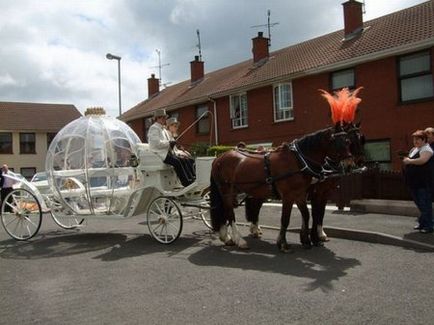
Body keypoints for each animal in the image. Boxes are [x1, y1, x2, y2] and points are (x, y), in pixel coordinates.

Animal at [210, 124, 352, 251]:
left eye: (348, 141)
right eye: (339, 142)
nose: (350, 164)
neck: (298, 160)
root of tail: (219, 158)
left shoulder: (300, 194)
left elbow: (306, 214)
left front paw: (306, 240)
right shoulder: (289, 195)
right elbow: (285, 219)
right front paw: (283, 244)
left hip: (231, 192)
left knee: (225, 210)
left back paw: (227, 237)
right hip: (226, 190)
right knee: (230, 212)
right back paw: (239, 240)